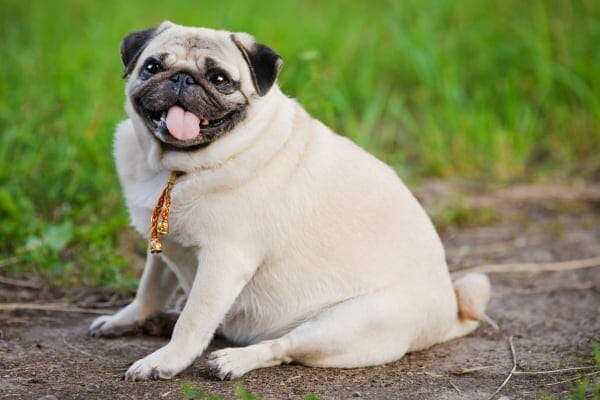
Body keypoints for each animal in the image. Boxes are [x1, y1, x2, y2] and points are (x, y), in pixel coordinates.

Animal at [90, 21, 492, 382]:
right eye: (152, 67)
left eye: (219, 79)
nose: (182, 79)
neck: (175, 169)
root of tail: (450, 316)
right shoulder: (164, 242)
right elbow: (150, 289)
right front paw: (128, 318)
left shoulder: (224, 261)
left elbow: (194, 320)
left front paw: (165, 361)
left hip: (345, 323)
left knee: (281, 347)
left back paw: (233, 360)